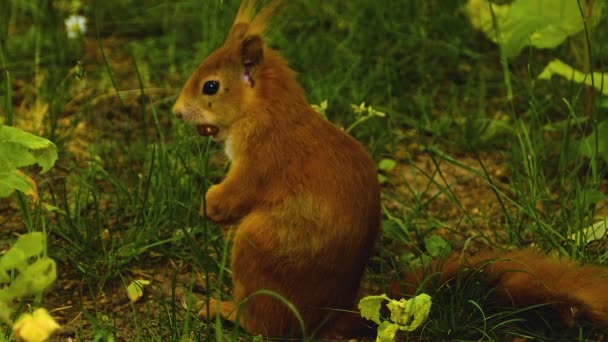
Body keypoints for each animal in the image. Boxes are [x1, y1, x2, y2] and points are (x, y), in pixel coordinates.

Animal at [171, 0, 608, 338]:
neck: (268, 109)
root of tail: (326, 319)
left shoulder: (263, 157)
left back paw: (221, 310)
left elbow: (238, 192)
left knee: (263, 327)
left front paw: (210, 204)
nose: (176, 112)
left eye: (210, 86)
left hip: (256, 253)